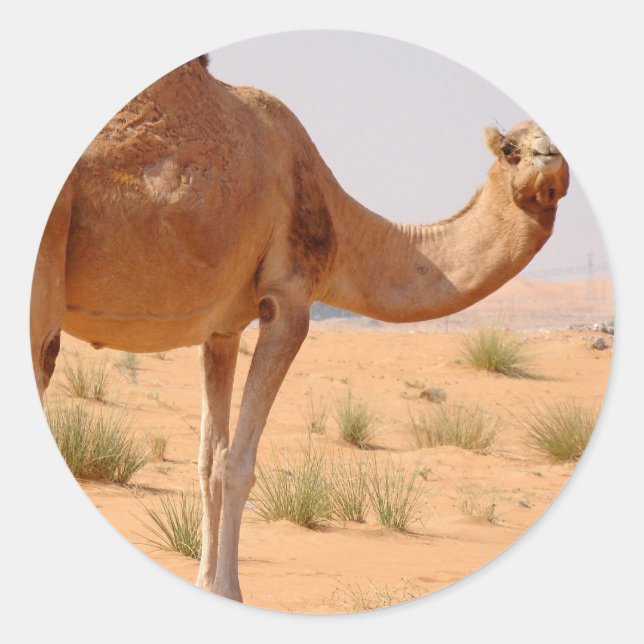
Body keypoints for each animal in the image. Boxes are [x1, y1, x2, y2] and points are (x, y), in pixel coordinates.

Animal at [30, 54, 569, 602]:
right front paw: (229, 591)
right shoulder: (288, 300)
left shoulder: (221, 330)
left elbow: (209, 460)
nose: (550, 154)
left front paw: (206, 583)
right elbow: (237, 465)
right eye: (511, 148)